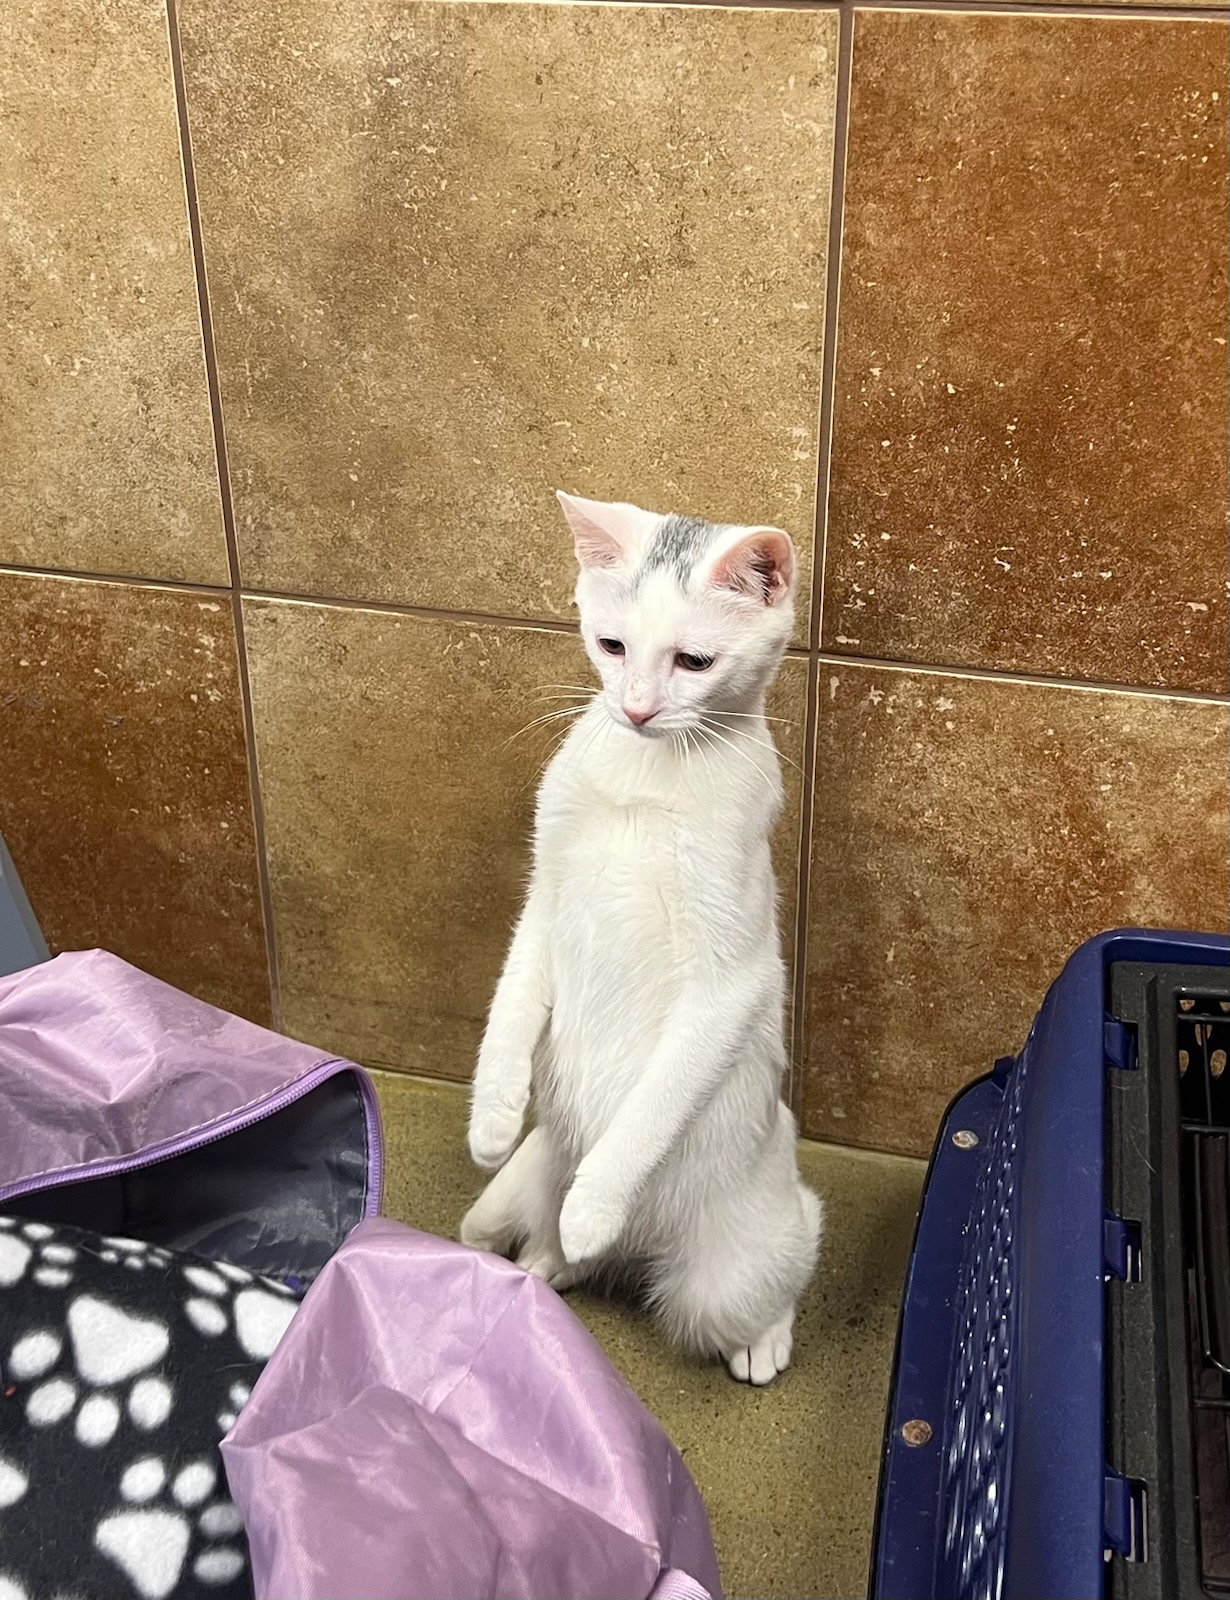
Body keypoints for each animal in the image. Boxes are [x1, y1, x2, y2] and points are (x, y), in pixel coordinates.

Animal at [460, 491, 822, 1385]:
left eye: (692, 661)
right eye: (611, 644)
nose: (634, 708)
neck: (647, 781)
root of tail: (644, 1258)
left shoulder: (730, 977)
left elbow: (653, 1106)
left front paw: (597, 1201)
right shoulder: (545, 900)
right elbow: (511, 1003)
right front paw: (491, 1115)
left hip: (731, 1273)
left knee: (793, 1246)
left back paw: (759, 1338)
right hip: (523, 1187)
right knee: (532, 1242)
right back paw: (547, 1265)